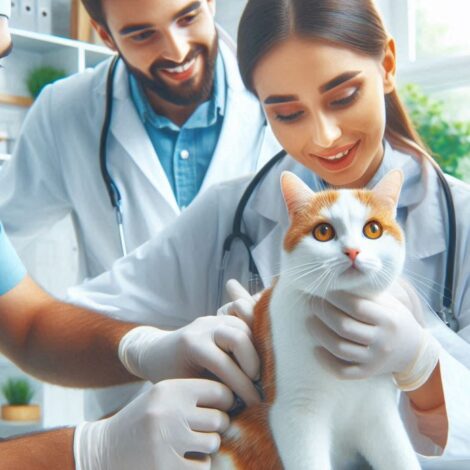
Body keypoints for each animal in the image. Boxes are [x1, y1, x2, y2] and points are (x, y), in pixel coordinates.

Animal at [211, 170, 420, 470]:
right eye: (323, 232)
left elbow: (399, 454)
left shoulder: (379, 412)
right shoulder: (297, 412)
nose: (353, 251)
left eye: (373, 230)